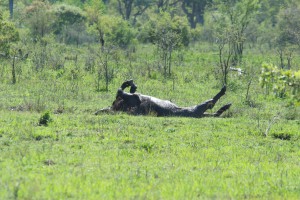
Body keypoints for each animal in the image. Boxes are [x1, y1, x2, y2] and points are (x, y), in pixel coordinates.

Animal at [95, 79, 231, 117]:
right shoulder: (133, 99)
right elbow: (122, 90)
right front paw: (130, 84)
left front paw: (132, 85)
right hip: (199, 109)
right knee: (211, 103)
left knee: (214, 112)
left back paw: (225, 107)